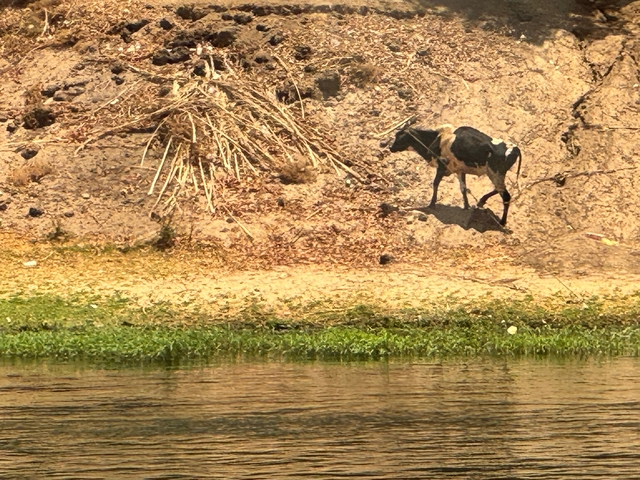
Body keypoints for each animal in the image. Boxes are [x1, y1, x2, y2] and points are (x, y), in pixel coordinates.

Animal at [386, 124, 522, 226]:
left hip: (495, 175)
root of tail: (515, 148)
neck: (437, 139)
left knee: (505, 196)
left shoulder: (442, 167)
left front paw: (431, 204)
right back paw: (482, 201)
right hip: (495, 175)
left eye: (401, 137)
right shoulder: (460, 170)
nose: (390, 147)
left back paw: (502, 221)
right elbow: (463, 188)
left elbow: (435, 183)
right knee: (499, 190)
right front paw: (466, 205)